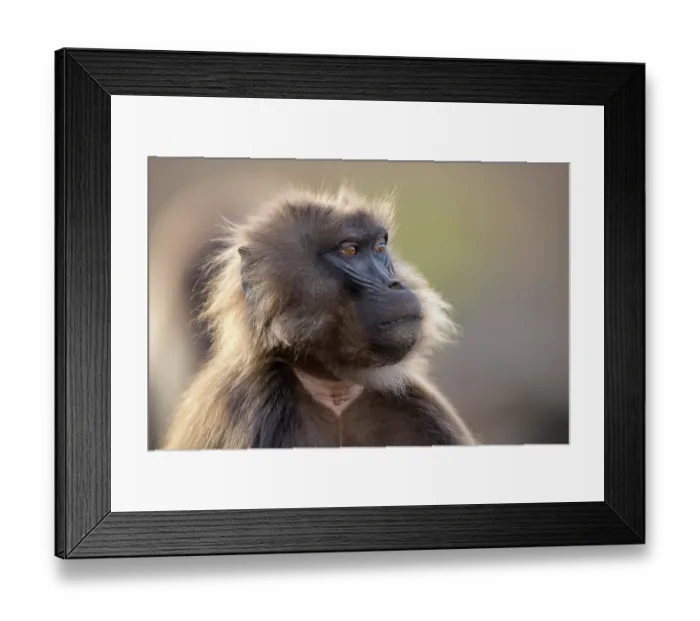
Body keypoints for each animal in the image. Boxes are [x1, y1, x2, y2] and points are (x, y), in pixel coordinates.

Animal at [161, 185, 478, 449]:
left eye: (379, 248)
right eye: (349, 251)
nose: (395, 284)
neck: (333, 391)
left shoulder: (421, 408)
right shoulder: (256, 408)